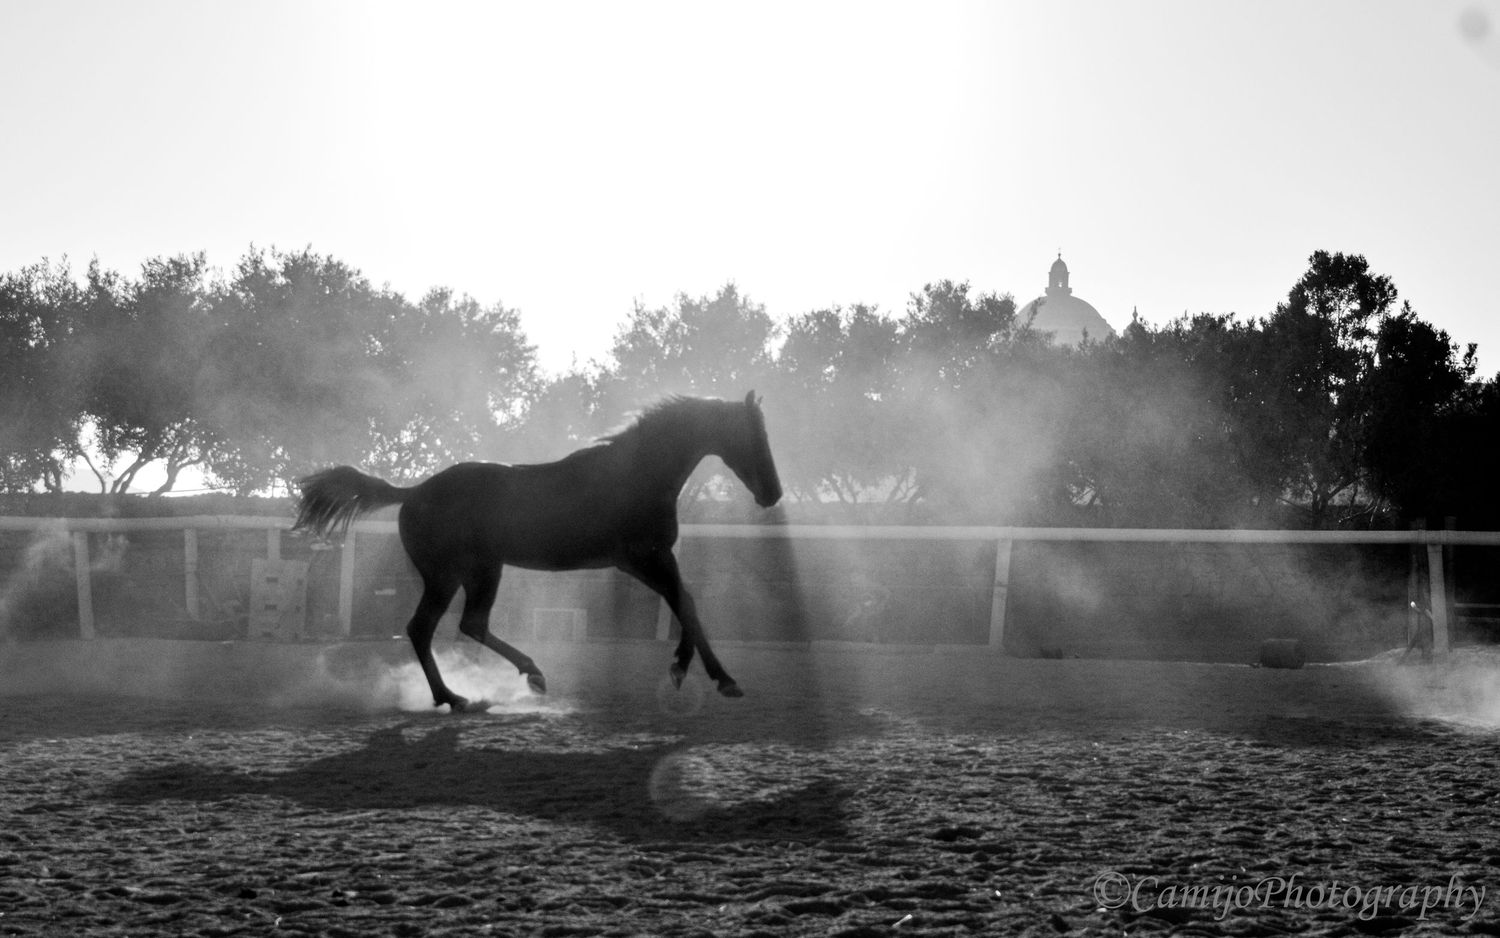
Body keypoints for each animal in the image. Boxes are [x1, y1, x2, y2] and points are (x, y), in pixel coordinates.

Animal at [293, 391, 782, 711]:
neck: (637, 474)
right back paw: (459, 696)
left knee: (467, 624)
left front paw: (684, 670)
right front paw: (720, 679)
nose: (773, 494)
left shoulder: (653, 559)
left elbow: (687, 602)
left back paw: (521, 677)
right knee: (426, 628)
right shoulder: (642, 559)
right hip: (449, 575)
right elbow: (685, 604)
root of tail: (411, 492)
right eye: (753, 435)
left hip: (481, 571)